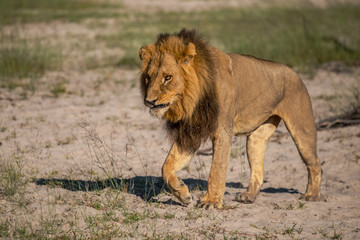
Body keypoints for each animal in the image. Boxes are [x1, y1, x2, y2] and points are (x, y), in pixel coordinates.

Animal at [137, 27, 320, 208]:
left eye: (167, 77)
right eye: (148, 77)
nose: (149, 101)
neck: (190, 101)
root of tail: (295, 73)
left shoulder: (223, 131)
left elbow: (216, 169)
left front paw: (210, 201)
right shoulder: (190, 133)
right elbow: (166, 166)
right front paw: (183, 194)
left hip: (301, 128)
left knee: (315, 163)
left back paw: (312, 195)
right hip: (256, 138)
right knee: (259, 169)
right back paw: (248, 196)